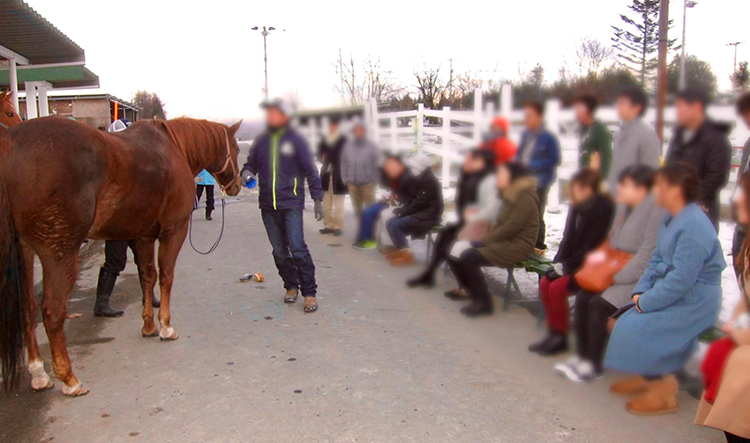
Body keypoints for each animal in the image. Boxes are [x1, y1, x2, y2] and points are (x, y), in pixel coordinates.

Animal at [0, 116, 241, 398]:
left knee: (27, 308)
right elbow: (166, 277)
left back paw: (39, 372)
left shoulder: (144, 236)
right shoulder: (174, 231)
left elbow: (148, 276)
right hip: (58, 255)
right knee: (52, 311)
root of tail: (12, 143)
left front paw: (148, 326)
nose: (237, 186)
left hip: (25, 252)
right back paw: (69, 379)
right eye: (236, 149)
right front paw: (166, 327)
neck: (175, 148)